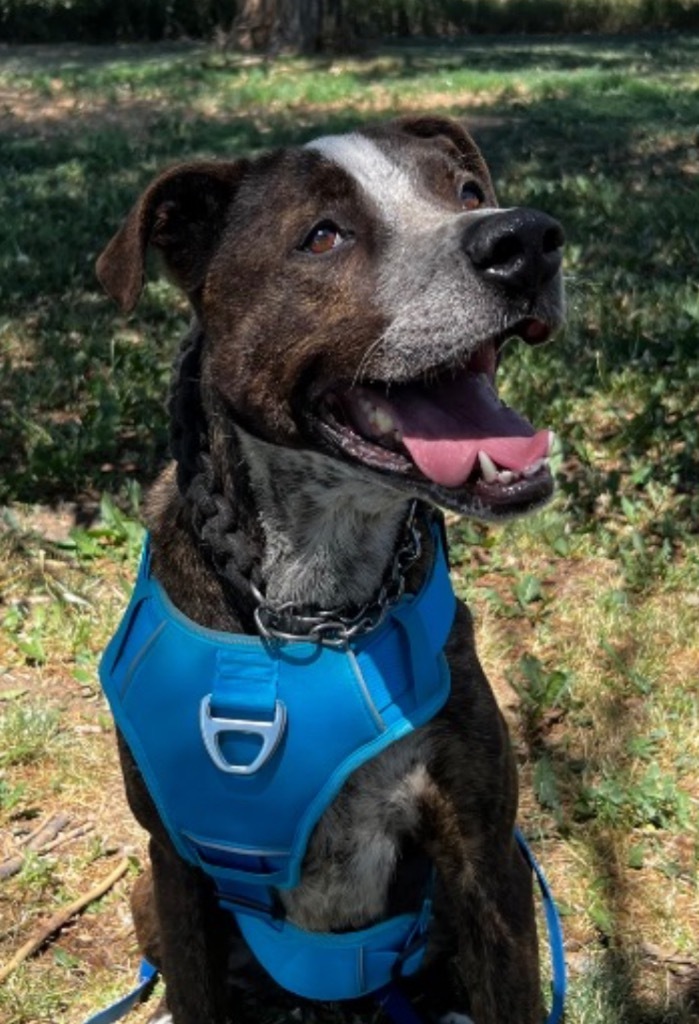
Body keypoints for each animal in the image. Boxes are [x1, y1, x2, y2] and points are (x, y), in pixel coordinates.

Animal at [97, 112, 564, 1024]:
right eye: (323, 236)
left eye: (467, 192)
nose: (526, 240)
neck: (316, 605)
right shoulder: (172, 863)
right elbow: (196, 988)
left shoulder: (485, 857)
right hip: (144, 895)